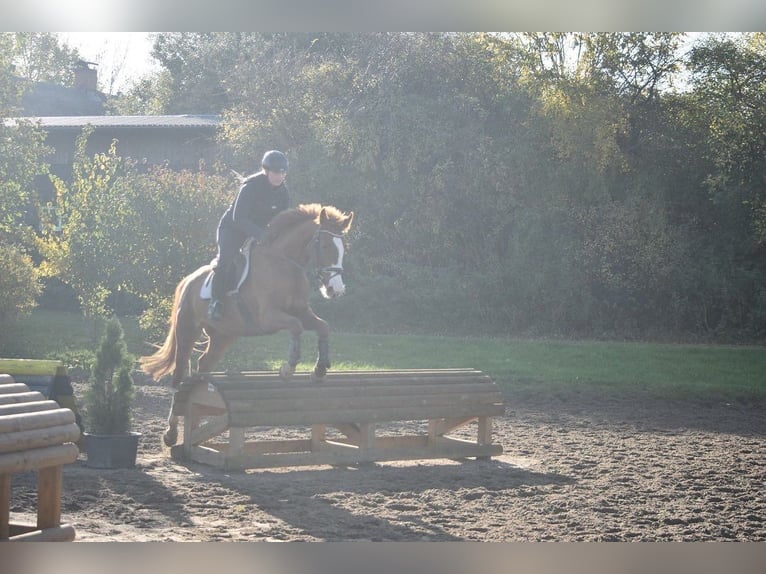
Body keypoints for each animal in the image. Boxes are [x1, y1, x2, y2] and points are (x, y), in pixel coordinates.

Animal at [139, 203, 354, 446]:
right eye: (325, 245)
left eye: (343, 248)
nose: (336, 290)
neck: (285, 264)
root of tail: (188, 280)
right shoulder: (268, 318)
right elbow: (295, 327)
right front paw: (288, 368)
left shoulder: (303, 312)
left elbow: (323, 327)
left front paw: (319, 370)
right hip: (187, 331)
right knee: (179, 373)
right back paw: (171, 432)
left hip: (223, 336)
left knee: (202, 367)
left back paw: (195, 422)